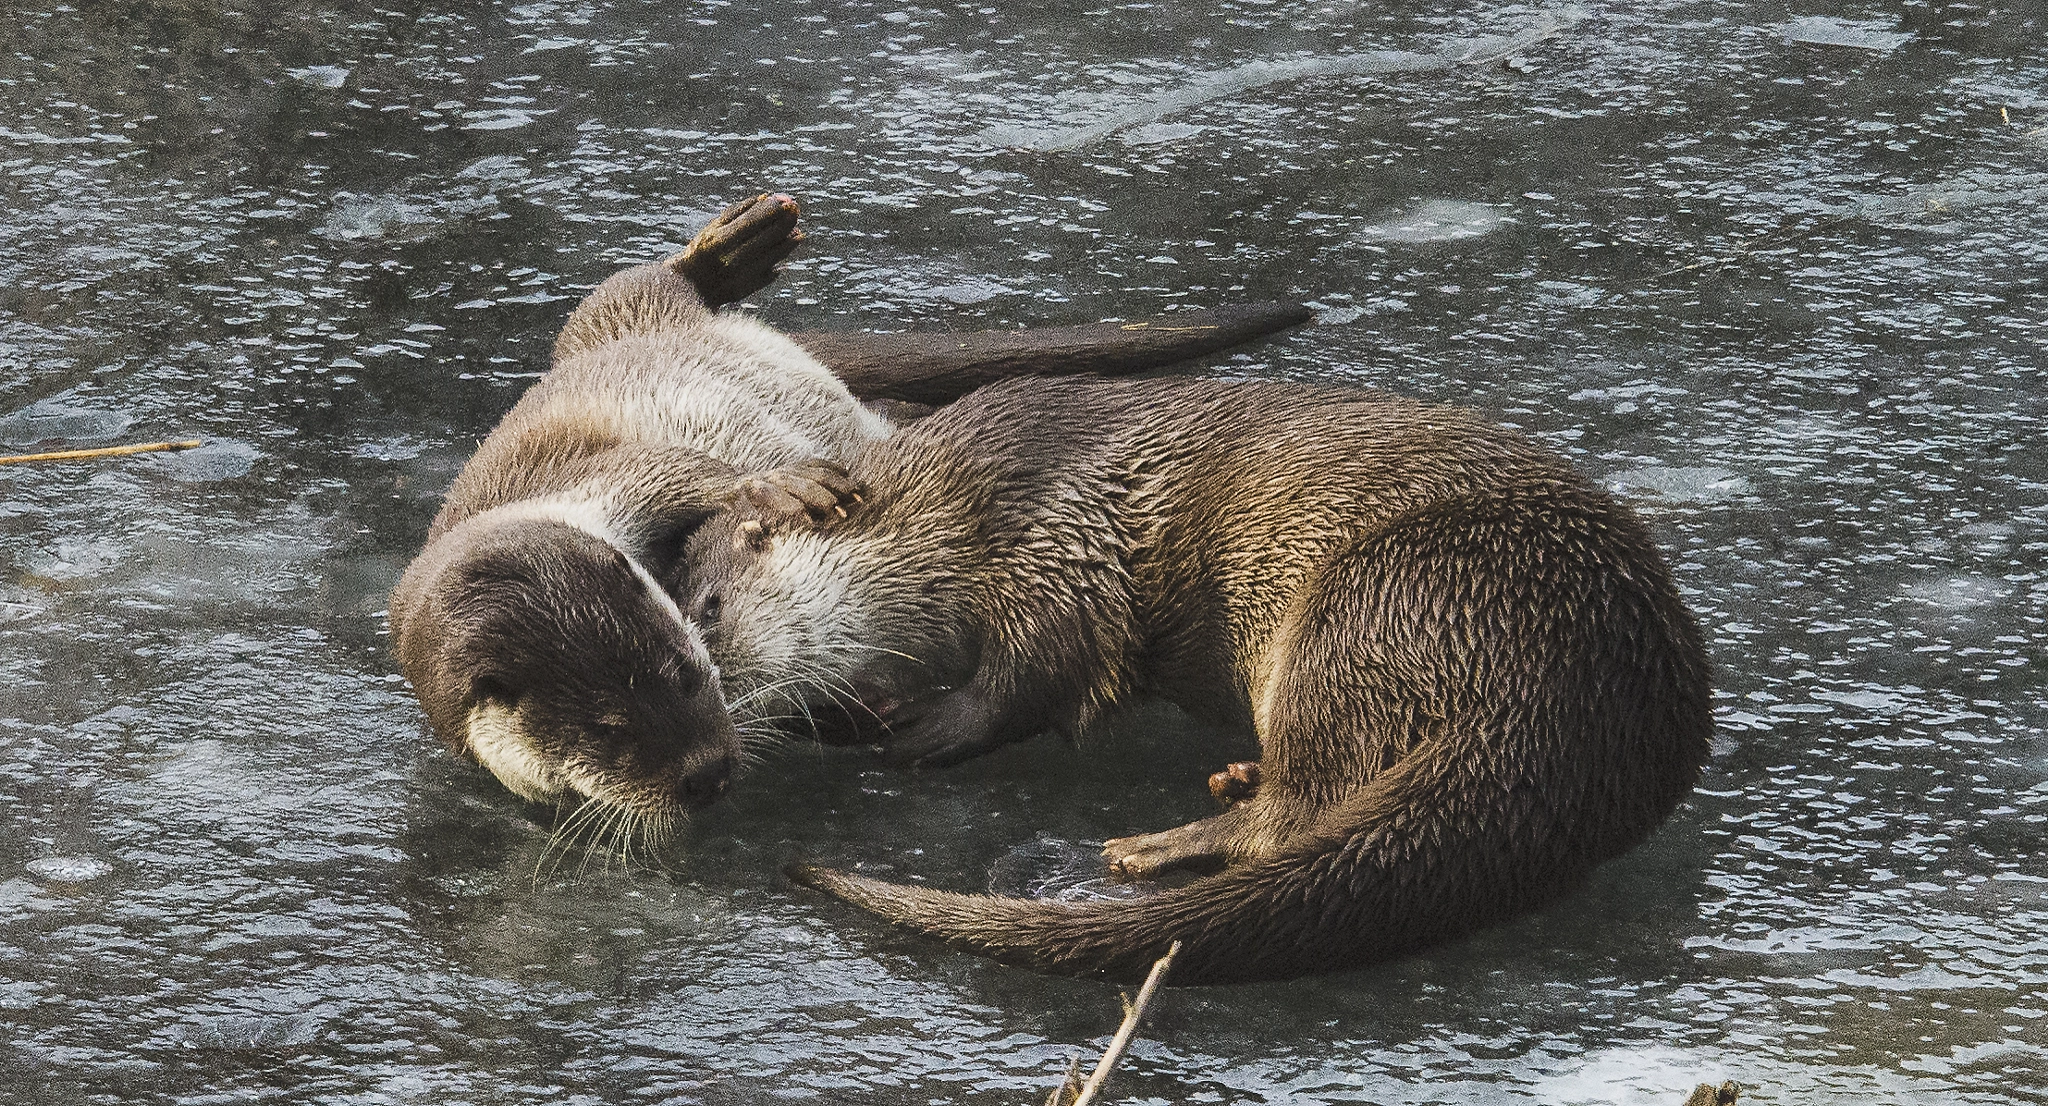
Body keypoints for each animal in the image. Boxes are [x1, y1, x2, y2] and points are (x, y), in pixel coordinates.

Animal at [391, 193, 1310, 832]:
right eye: (608, 732)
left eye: (685, 672)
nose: (706, 775)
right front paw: (858, 713)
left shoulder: (612, 474)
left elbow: (700, 473)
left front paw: (774, 488)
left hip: (606, 328)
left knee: (629, 286)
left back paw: (732, 250)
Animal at [676, 375, 1714, 984]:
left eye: (710, 617)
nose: (709, 742)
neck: (947, 515)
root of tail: (1566, 696)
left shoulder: (1057, 548)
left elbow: (1029, 678)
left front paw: (919, 731)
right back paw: (1232, 780)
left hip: (1361, 606)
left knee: (1300, 812)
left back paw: (1152, 846)